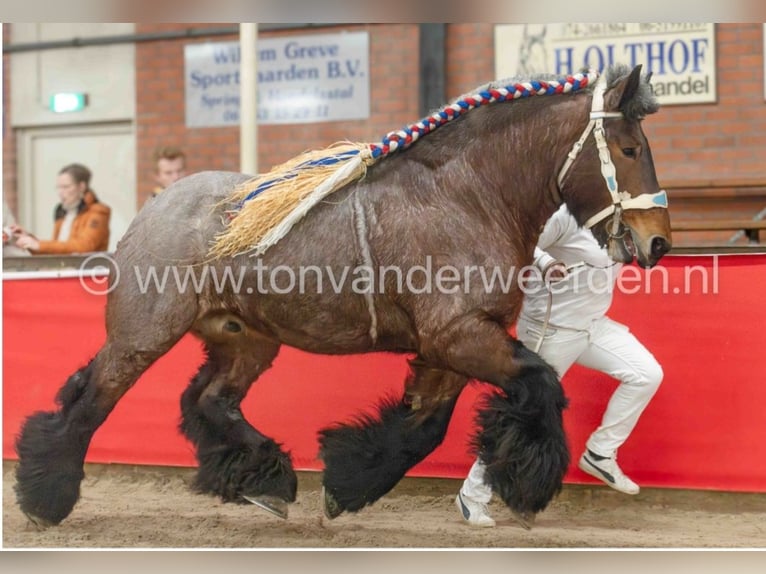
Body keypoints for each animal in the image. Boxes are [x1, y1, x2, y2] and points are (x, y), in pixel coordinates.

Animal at [14, 63, 672, 528]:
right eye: (631, 149)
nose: (659, 241)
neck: (467, 196)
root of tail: (154, 205)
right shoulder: (459, 335)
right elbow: (539, 384)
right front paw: (530, 484)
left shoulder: (454, 344)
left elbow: (422, 428)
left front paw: (346, 482)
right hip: (143, 335)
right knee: (89, 402)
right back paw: (46, 496)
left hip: (245, 339)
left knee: (208, 402)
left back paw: (266, 481)